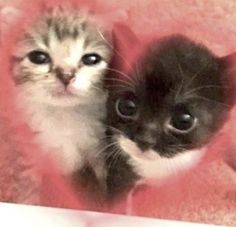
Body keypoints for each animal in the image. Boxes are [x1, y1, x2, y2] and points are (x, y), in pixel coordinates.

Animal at [11, 5, 113, 184]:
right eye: (39, 57)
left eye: (91, 59)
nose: (66, 75)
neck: (65, 117)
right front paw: (34, 172)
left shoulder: (99, 145)